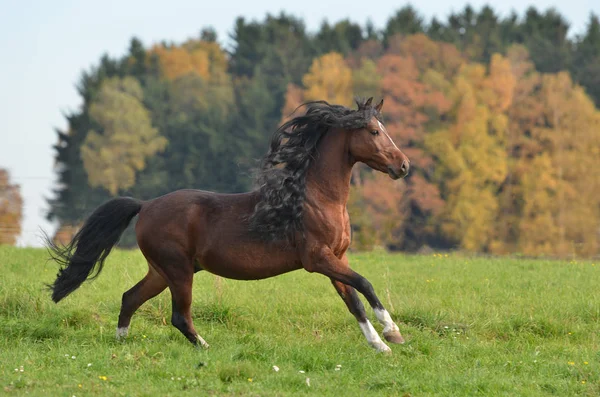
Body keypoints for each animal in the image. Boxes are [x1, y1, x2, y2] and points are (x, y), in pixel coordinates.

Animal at [49, 96, 410, 352]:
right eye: (374, 132)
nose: (404, 165)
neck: (316, 198)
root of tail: (146, 205)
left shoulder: (337, 258)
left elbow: (354, 301)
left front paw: (379, 344)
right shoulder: (318, 259)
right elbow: (364, 285)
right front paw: (392, 333)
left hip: (162, 271)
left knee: (130, 298)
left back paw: (120, 344)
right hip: (178, 271)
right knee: (179, 316)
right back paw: (205, 347)